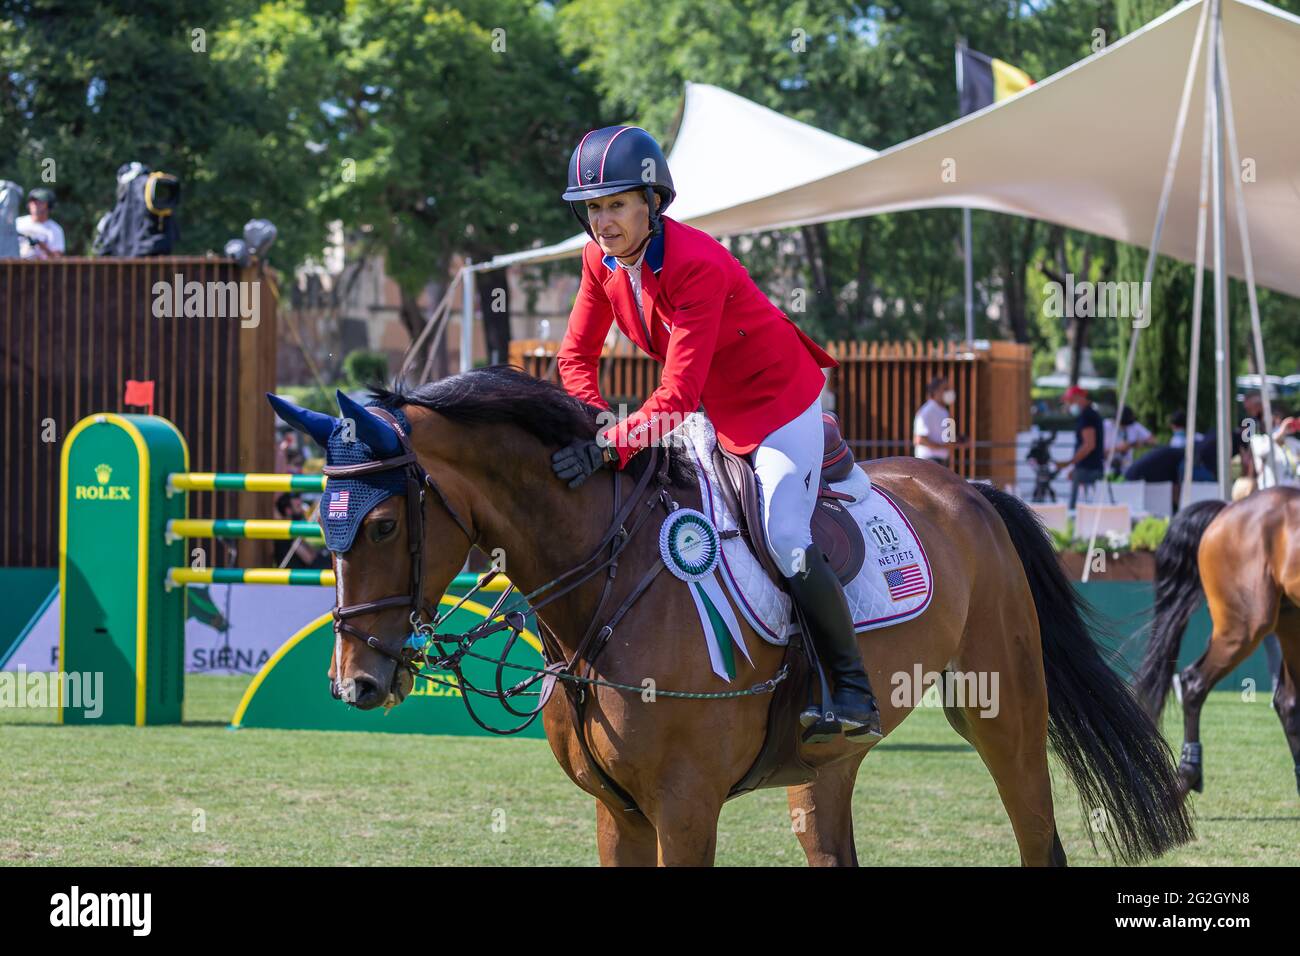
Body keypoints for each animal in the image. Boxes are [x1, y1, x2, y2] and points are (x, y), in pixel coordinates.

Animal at [269, 369, 1190, 868]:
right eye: (323, 522)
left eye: (384, 527)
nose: (356, 684)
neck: (606, 591)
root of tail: (969, 490)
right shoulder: (618, 813)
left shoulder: (685, 806)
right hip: (826, 764)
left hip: (1002, 713)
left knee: (1039, 836)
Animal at [1138, 489, 1300, 796]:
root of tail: (1228, 509)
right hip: (1244, 626)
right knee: (1194, 682)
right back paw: (1187, 775)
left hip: (1289, 621)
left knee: (1288, 702)